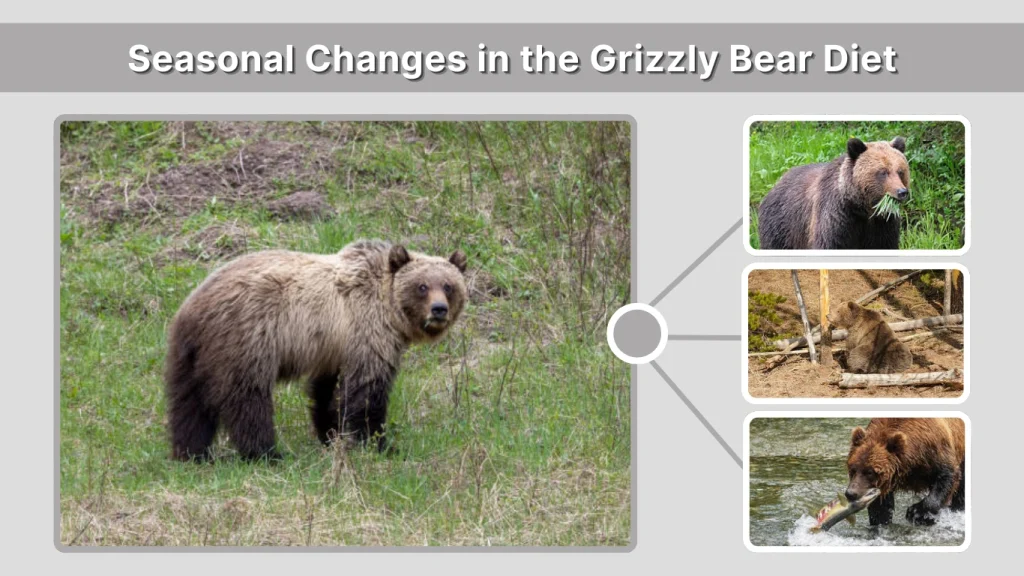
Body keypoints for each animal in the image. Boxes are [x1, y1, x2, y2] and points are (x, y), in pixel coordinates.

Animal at [163, 239, 468, 461]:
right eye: (422, 286)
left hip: (188, 354)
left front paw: (330, 434)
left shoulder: (332, 348)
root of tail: (193, 308)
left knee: (188, 402)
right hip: (247, 339)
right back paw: (266, 453)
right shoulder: (367, 334)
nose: (438, 309)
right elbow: (367, 391)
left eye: (448, 286)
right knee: (247, 399)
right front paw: (378, 443)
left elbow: (325, 392)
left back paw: (192, 452)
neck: (389, 309)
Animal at [757, 136, 910, 250]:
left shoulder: (882, 222)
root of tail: (775, 184)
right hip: (783, 225)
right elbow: (829, 242)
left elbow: (885, 243)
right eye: (883, 172)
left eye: (900, 171)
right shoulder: (836, 215)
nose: (902, 192)